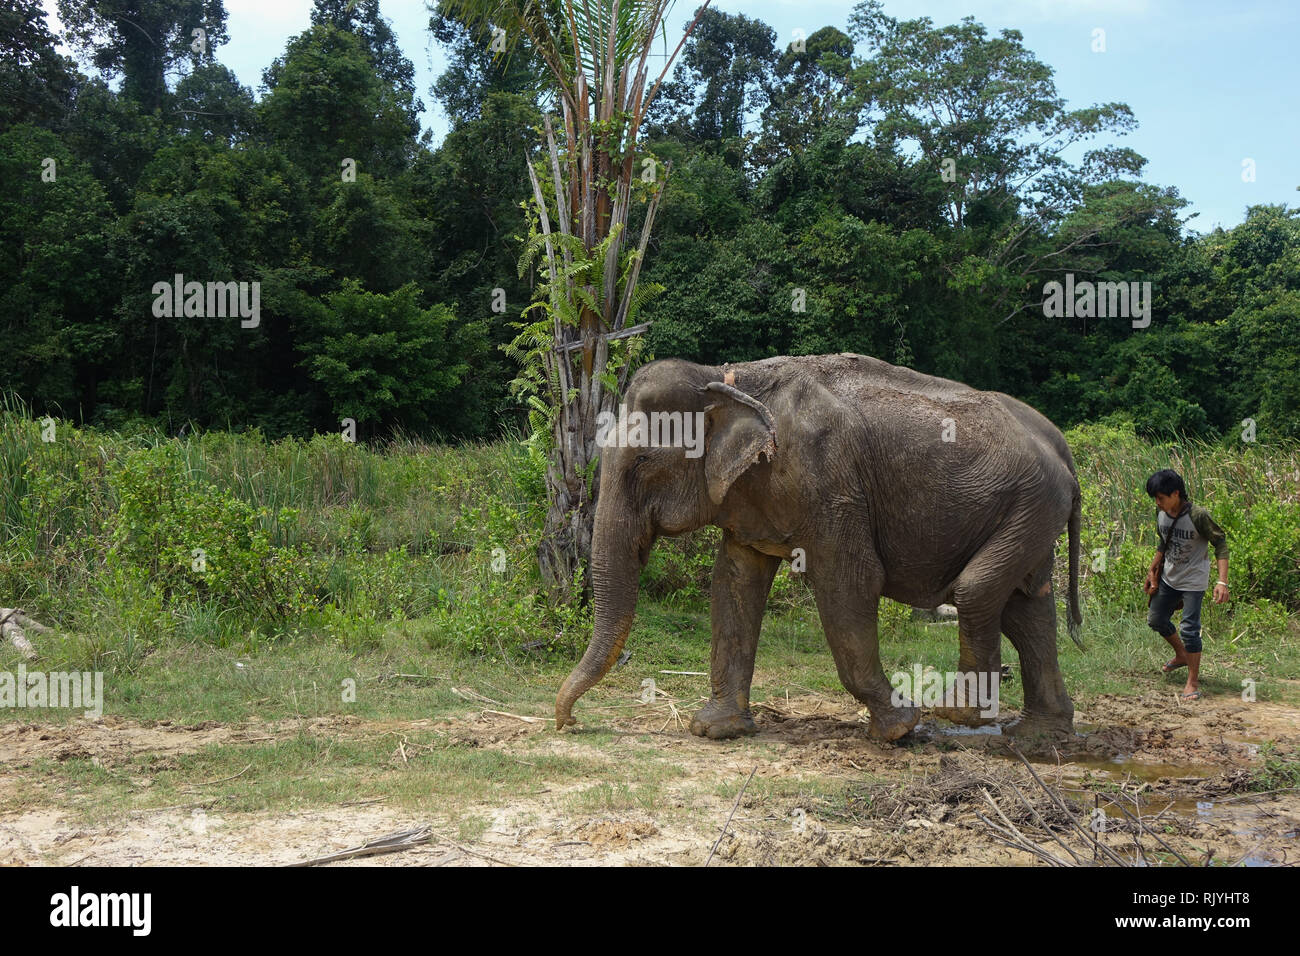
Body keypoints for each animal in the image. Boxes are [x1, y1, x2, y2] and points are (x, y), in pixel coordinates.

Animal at [553, 356, 1081, 743]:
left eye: (643, 460)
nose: (569, 722)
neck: (724, 375)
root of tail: (1059, 441)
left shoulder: (830, 485)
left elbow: (848, 581)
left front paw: (897, 729)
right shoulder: (752, 495)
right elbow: (734, 583)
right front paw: (716, 729)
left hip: (1031, 503)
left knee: (978, 592)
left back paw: (959, 714)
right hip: (1030, 511)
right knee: (1026, 606)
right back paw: (1040, 733)